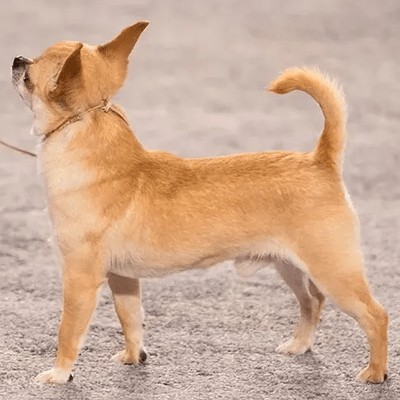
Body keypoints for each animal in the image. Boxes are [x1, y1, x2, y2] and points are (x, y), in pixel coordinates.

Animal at [11, 20, 388, 382]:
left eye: (30, 75)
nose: (16, 59)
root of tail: (320, 160)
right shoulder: (123, 279)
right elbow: (130, 319)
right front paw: (134, 357)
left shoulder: (80, 280)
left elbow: (68, 332)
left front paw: (60, 374)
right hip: (292, 268)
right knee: (312, 301)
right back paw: (300, 345)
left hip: (334, 273)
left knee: (376, 315)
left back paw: (375, 372)